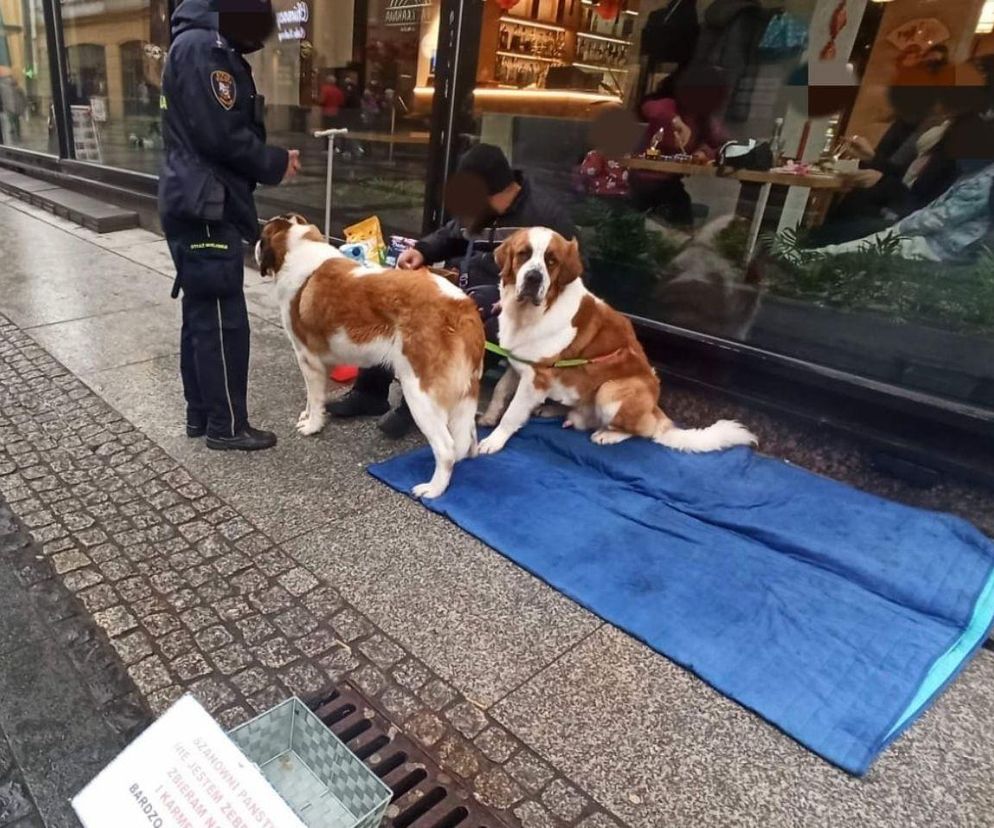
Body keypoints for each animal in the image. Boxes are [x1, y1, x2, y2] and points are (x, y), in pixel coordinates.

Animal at [256, 215, 484, 498]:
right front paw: (307, 416)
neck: (298, 247)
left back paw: (433, 489)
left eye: (262, 236)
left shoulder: (308, 360)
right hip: (463, 392)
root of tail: (463, 307)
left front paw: (312, 425)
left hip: (419, 392)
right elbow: (312, 398)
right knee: (468, 435)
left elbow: (314, 397)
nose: (255, 245)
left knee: (446, 448)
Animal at [476, 230, 756, 456]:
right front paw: (489, 416)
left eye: (551, 261)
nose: (534, 278)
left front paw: (494, 441)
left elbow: (512, 412)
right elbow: (500, 391)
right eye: (523, 254)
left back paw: (608, 434)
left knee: (643, 430)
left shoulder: (537, 377)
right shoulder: (518, 364)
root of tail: (656, 409)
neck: (532, 312)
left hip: (610, 390)